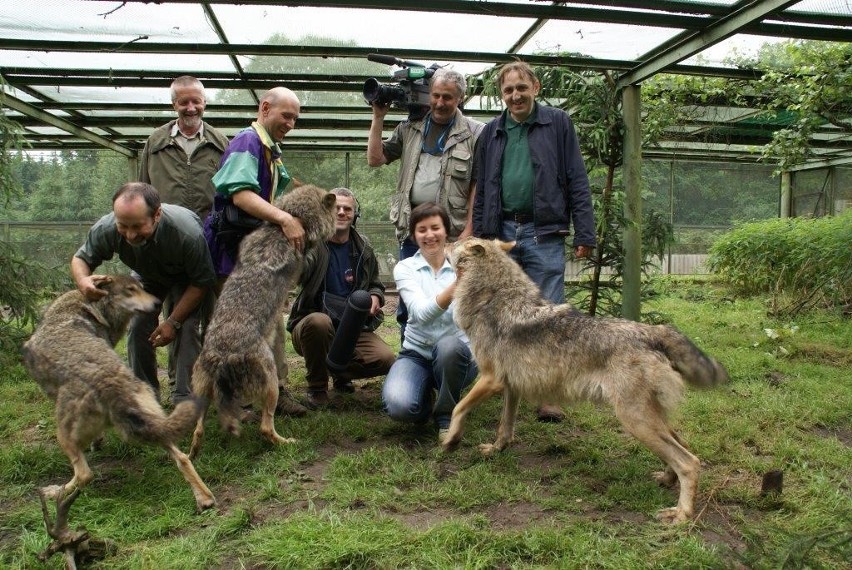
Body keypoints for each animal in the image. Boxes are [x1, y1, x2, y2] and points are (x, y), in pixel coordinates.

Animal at [24, 274, 216, 510]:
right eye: (131, 290)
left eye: (139, 288)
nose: (156, 303)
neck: (86, 308)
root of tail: (111, 387)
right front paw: (97, 442)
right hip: (152, 424)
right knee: (182, 457)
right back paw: (204, 499)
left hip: (64, 435)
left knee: (85, 474)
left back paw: (54, 492)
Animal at [191, 184, 338, 454]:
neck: (285, 223)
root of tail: (222, 356)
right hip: (270, 383)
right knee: (265, 428)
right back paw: (289, 442)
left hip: (201, 394)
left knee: (197, 431)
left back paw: (191, 456)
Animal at [442, 237, 728, 520]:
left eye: (456, 243)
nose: (444, 241)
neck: (493, 297)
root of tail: (652, 331)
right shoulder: (511, 387)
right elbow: (505, 427)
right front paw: (495, 450)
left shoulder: (490, 379)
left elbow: (458, 408)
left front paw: (450, 440)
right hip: (650, 419)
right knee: (683, 444)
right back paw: (666, 481)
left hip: (635, 421)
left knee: (689, 462)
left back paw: (680, 515)